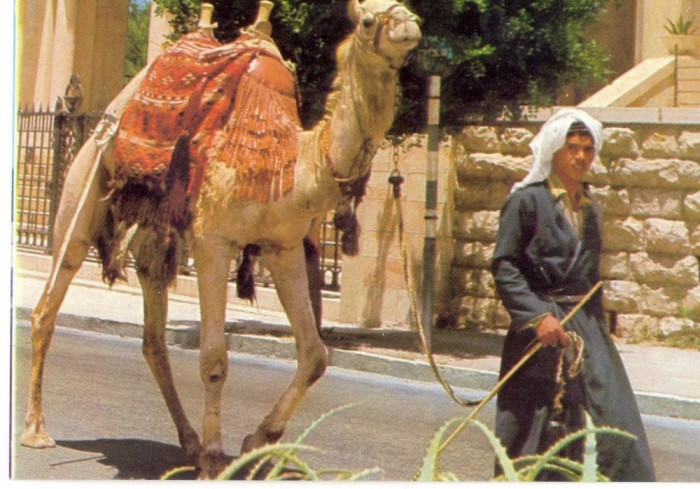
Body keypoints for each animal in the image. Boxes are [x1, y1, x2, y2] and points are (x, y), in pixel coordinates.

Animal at [19, 0, 418, 476]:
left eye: (406, 8)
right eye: (369, 20)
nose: (410, 25)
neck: (292, 163)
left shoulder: (282, 247)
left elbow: (315, 354)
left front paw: (254, 442)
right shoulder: (214, 241)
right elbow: (213, 358)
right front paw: (215, 458)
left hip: (155, 237)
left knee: (153, 335)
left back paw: (188, 442)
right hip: (85, 187)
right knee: (48, 303)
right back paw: (37, 431)